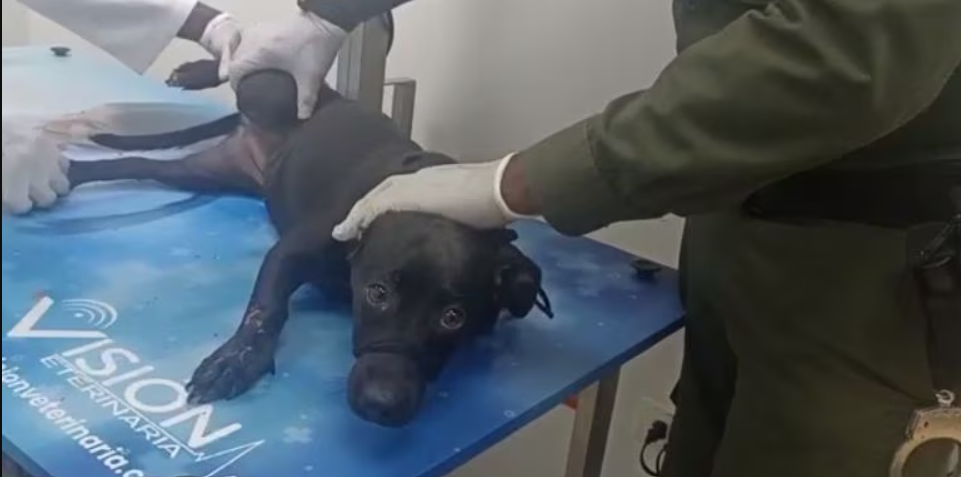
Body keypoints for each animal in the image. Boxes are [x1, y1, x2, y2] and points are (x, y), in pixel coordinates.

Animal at [64, 59, 553, 428]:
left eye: (454, 317)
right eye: (378, 293)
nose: (382, 404)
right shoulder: (289, 253)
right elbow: (267, 310)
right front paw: (239, 358)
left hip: (198, 172)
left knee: (131, 163)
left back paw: (72, 172)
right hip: (278, 92)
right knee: (244, 65)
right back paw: (199, 69)